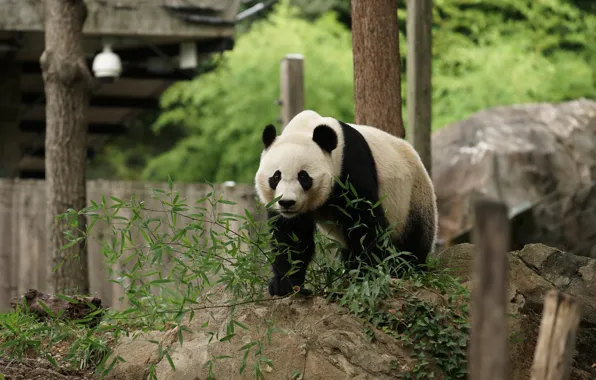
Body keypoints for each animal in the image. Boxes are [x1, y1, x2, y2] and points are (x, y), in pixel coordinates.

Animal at [253, 110, 438, 296]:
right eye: (276, 177)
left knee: (412, 242)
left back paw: (404, 269)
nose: (287, 202)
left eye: (303, 176)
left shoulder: (351, 167)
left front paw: (366, 276)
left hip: (413, 198)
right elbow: (291, 238)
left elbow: (364, 224)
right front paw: (284, 284)